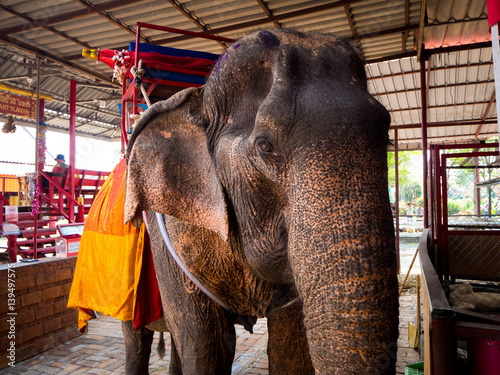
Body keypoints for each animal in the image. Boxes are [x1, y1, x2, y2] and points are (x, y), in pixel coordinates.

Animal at [122, 29, 398, 375]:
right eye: (265, 146)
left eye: (387, 139)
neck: (199, 99)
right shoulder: (171, 238)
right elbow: (206, 347)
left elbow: (291, 350)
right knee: (139, 339)